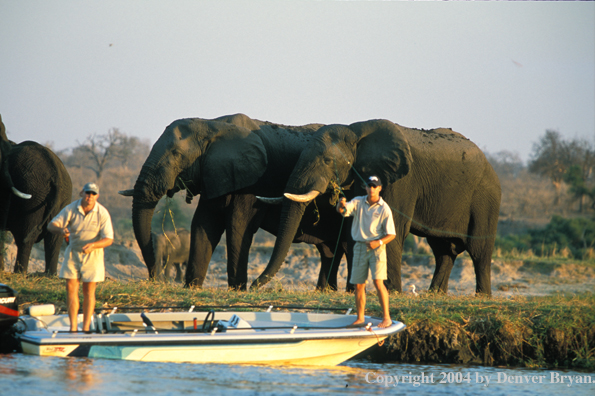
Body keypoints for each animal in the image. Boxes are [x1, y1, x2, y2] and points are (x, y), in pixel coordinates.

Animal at [0, 114, 73, 274]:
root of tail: (56, 176)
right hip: (62, 198)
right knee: (54, 239)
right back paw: (49, 275)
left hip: (33, 195)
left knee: (25, 237)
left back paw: (20, 273)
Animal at [120, 113, 350, 290]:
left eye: (176, 154)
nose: (156, 280)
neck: (211, 125)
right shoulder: (215, 173)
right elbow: (204, 223)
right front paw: (192, 288)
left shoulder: (251, 180)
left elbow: (237, 225)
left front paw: (237, 290)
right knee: (331, 250)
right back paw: (325, 291)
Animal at [251, 119, 502, 296]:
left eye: (327, 161)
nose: (252, 285)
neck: (355, 132)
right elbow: (352, 228)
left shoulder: (401, 180)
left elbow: (394, 229)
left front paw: (392, 292)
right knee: (443, 250)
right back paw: (435, 294)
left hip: (486, 197)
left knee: (478, 250)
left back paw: (482, 297)